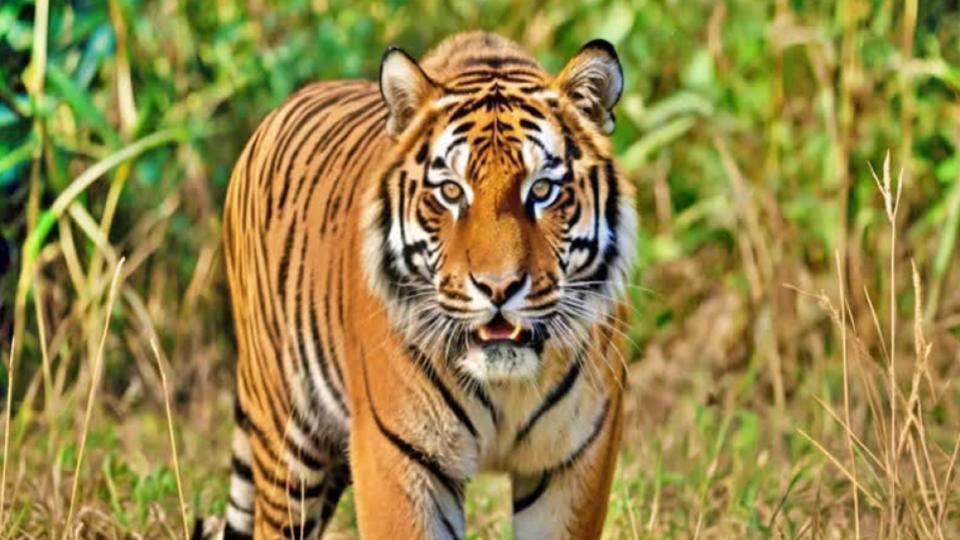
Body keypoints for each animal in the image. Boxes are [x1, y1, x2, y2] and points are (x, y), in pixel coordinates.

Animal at [213, 31, 637, 539]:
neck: (505, 389)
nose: (498, 288)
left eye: (542, 190)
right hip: (289, 441)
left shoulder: (572, 462)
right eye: (451, 191)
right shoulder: (397, 456)